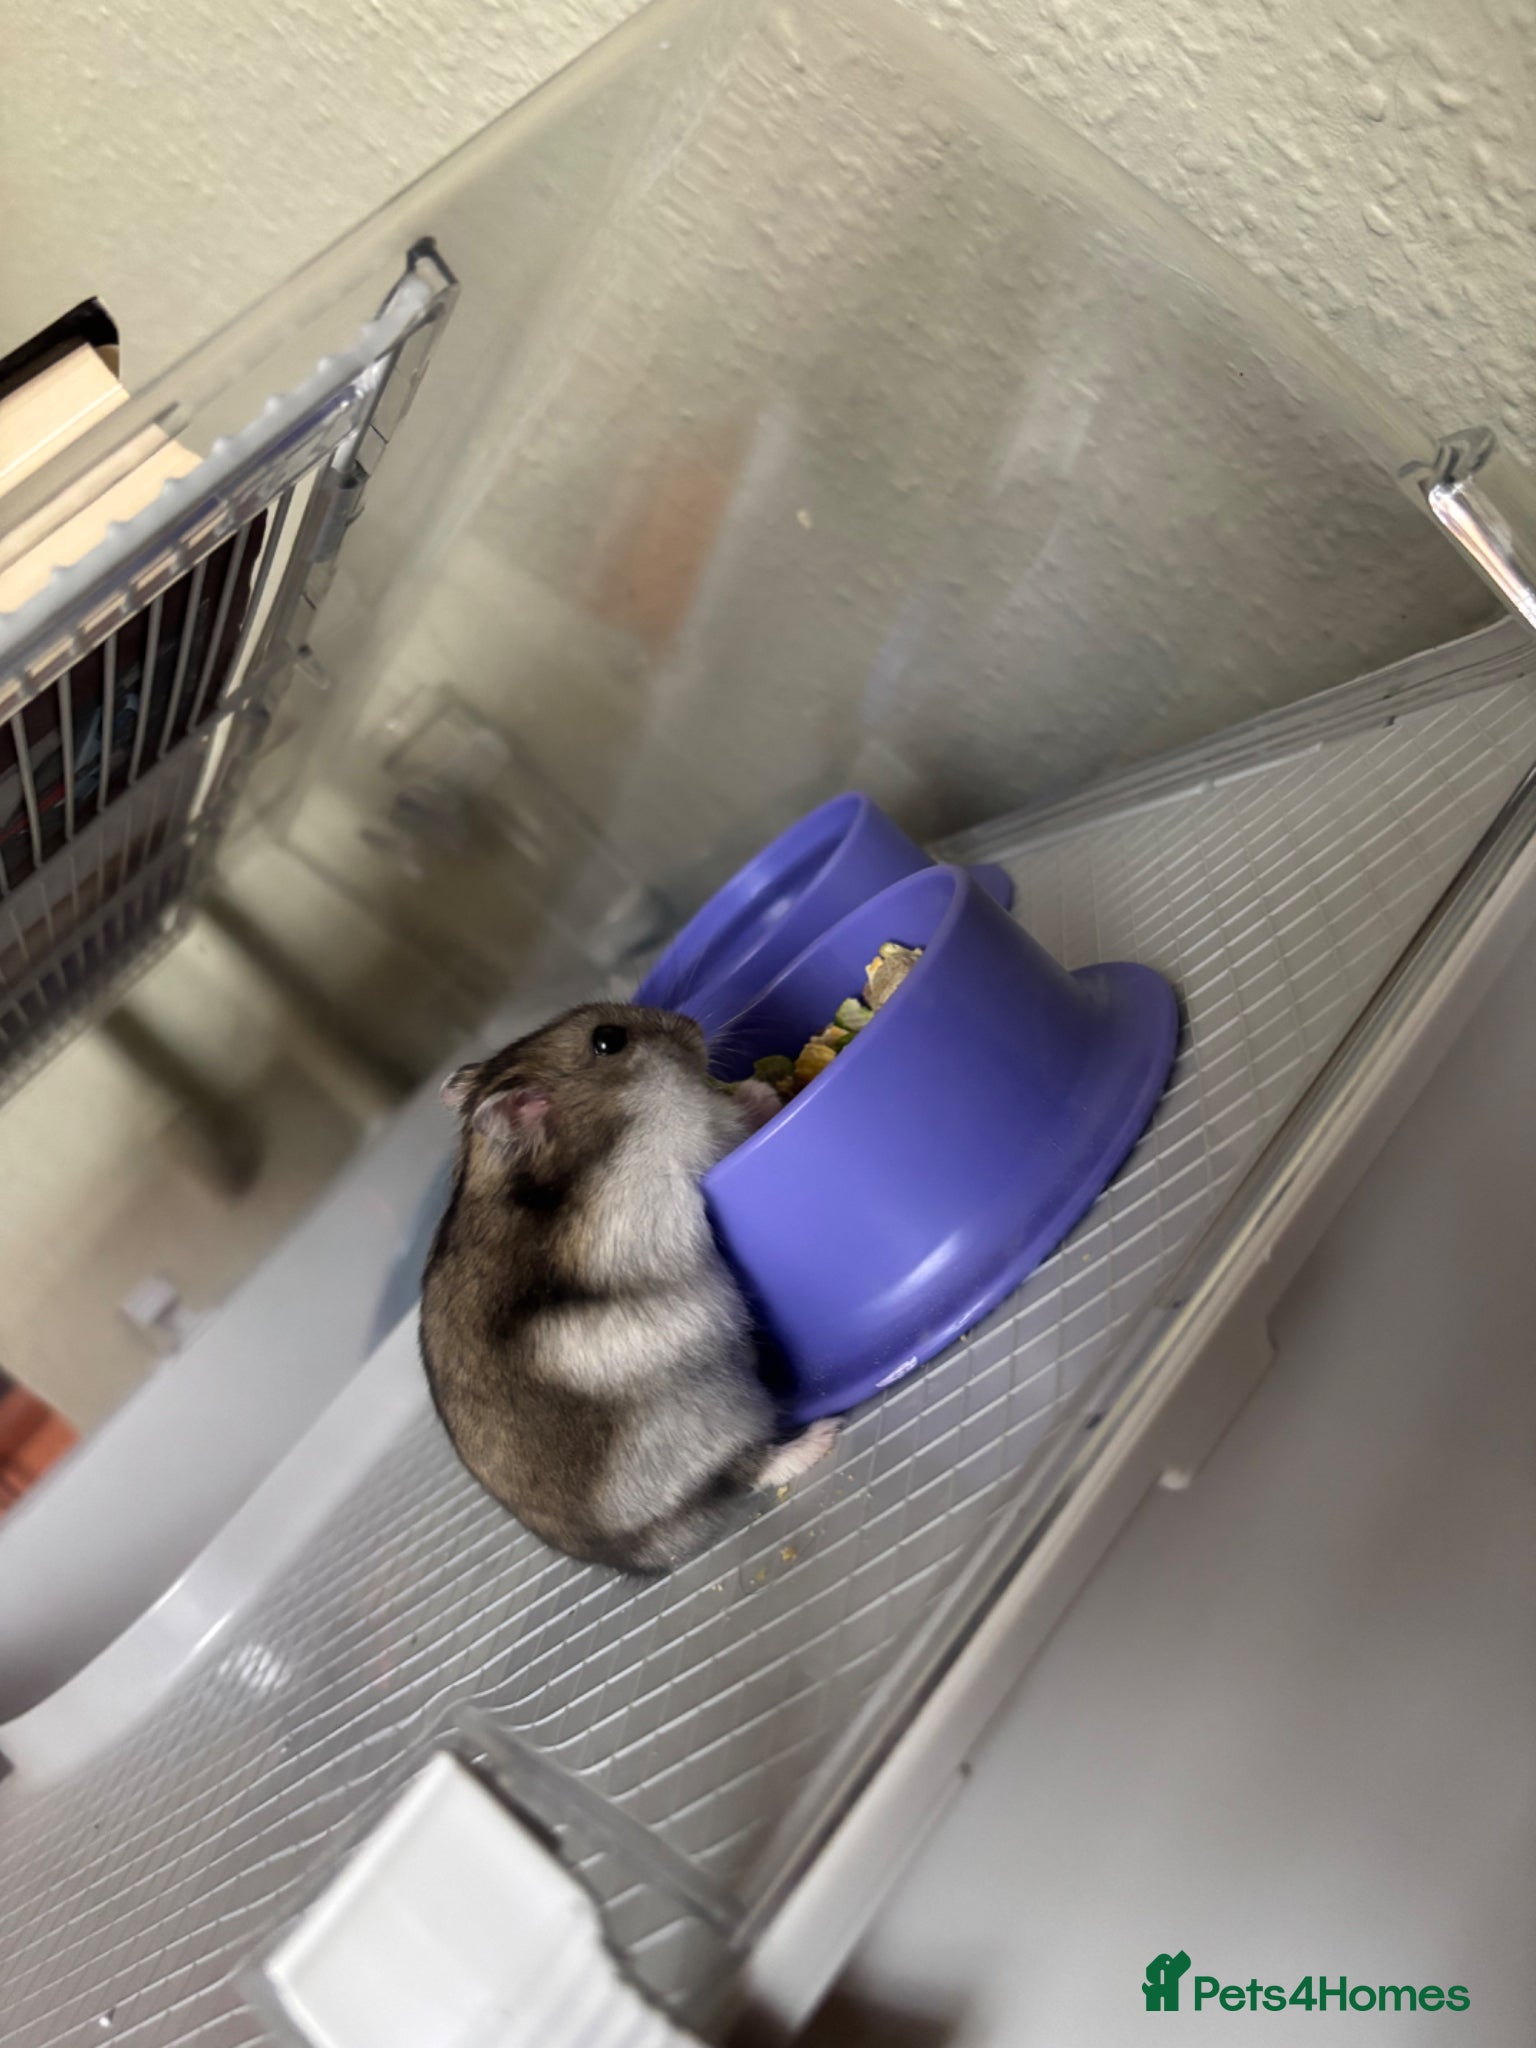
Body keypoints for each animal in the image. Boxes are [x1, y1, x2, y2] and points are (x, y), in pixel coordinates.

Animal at [420, 1001, 836, 1572]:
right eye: (608, 1041)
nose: (691, 1024)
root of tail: (629, 1551)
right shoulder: (696, 1136)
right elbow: (730, 1120)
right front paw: (758, 1092)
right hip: (707, 1421)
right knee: (744, 1469)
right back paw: (821, 1439)